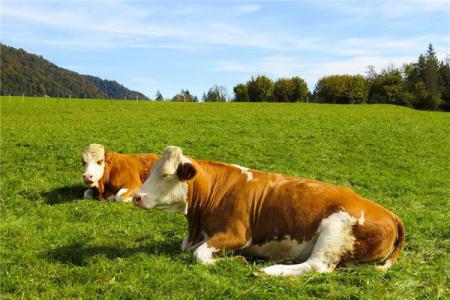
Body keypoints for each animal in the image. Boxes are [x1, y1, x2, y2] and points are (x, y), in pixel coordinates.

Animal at [132, 146, 406, 276]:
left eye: (165, 174)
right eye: (150, 171)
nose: (136, 197)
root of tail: (389, 213)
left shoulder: (237, 234)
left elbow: (199, 255)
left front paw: (238, 260)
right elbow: (188, 248)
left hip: (335, 231)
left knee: (316, 266)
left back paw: (269, 270)